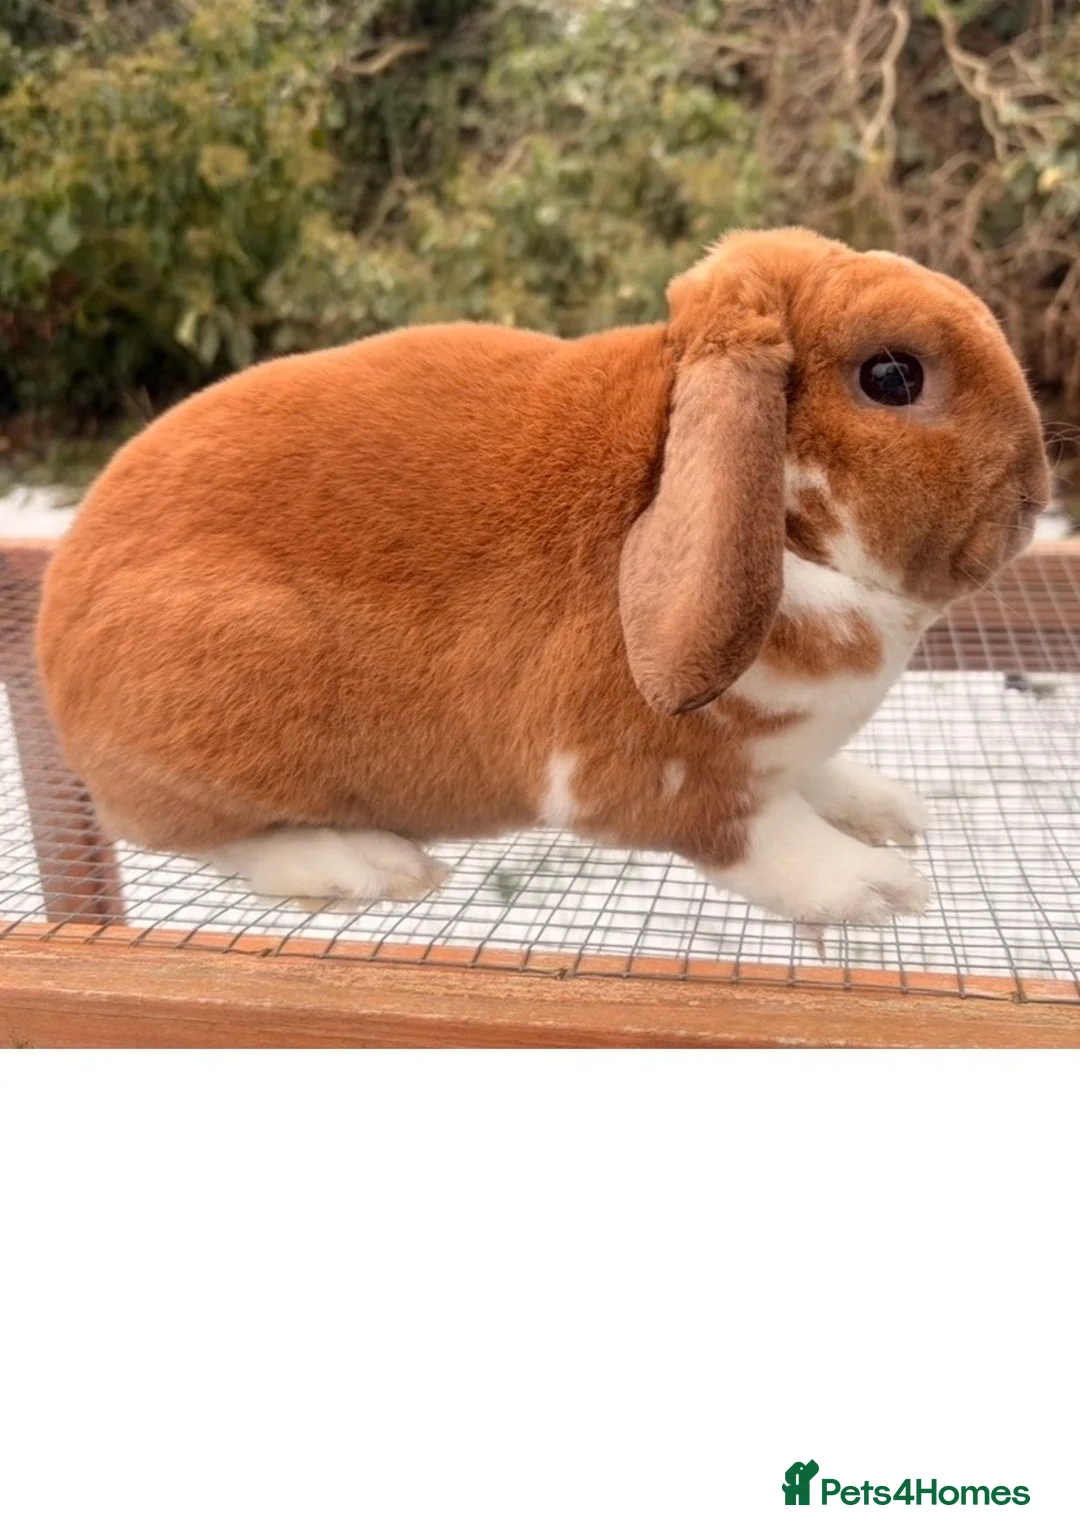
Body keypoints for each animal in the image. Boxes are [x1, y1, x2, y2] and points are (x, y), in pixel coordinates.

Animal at [36, 227, 1050, 926]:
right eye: (892, 376)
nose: (1038, 493)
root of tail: (56, 657)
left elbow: (814, 777)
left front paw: (889, 809)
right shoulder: (655, 777)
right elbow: (757, 836)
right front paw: (880, 887)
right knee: (202, 834)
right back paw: (367, 865)